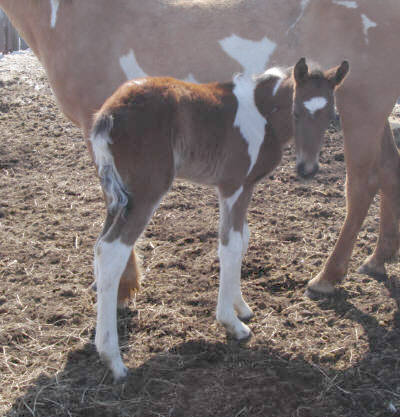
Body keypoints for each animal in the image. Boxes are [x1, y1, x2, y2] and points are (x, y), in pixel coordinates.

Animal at [3, 0, 400, 300]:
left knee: (362, 186)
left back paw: (328, 277)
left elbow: (115, 203)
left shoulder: (97, 132)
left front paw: (122, 285)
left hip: (362, 110)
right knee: (389, 172)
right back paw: (378, 258)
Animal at [90, 58, 346, 380]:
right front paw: (232, 323)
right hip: (146, 192)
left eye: (332, 116)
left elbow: (242, 239)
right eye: (296, 111)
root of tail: (109, 113)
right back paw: (112, 358)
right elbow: (230, 245)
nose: (307, 169)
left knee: (100, 247)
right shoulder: (233, 185)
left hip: (117, 197)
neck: (263, 114)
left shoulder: (244, 187)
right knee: (113, 252)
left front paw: (241, 306)